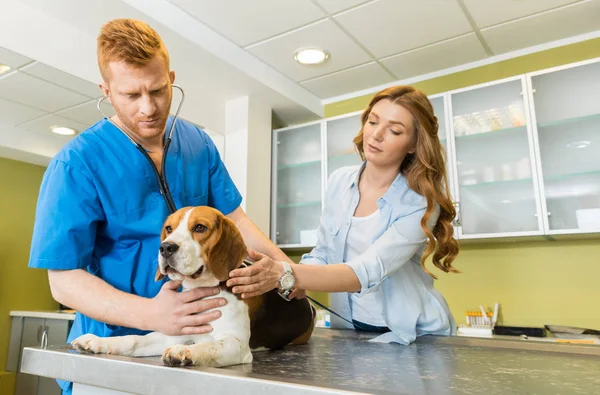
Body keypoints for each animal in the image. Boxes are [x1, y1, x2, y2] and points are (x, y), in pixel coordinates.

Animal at [71, 207, 314, 368]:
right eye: (169, 228)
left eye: (199, 227)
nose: (165, 247)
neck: (203, 290)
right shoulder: (174, 333)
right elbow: (133, 339)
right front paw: (96, 341)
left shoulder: (237, 345)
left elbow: (209, 346)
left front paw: (185, 350)